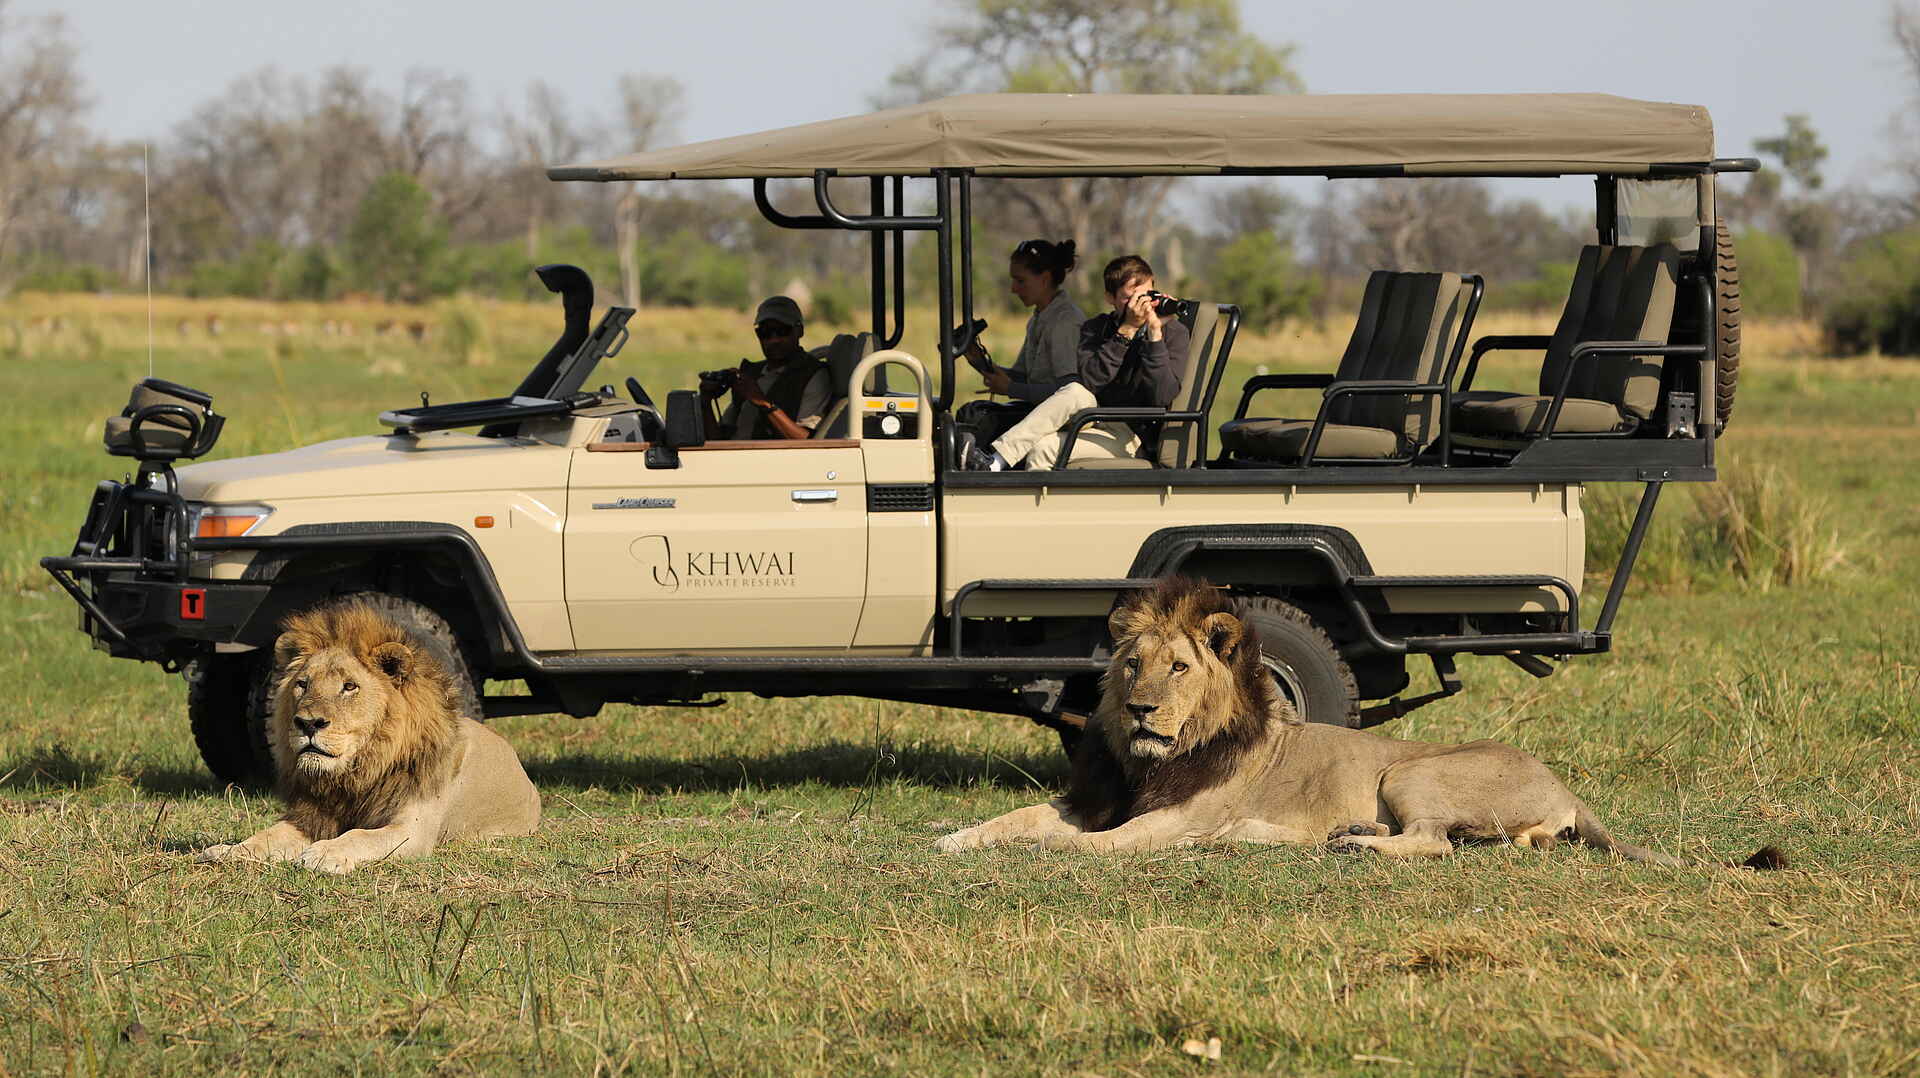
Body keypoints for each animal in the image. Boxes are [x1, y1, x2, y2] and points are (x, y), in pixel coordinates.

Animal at [196, 598, 541, 874]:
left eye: (350, 686)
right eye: (303, 684)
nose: (308, 723)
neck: (359, 771)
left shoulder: (412, 830)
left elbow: (359, 836)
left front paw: (324, 853)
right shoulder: (312, 816)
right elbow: (267, 835)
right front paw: (230, 850)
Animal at [937, 577, 1781, 869]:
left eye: (1178, 668)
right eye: (1130, 665)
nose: (1142, 709)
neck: (1152, 757)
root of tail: (1565, 786)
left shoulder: (1171, 820)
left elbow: (1080, 842)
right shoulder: (1095, 798)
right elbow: (1017, 817)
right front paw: (952, 838)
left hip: (1408, 767)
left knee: (1436, 843)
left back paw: (1353, 847)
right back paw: (1350, 833)